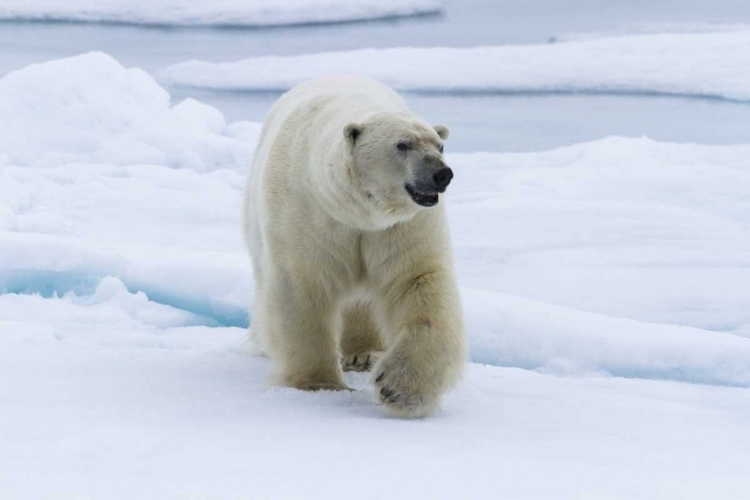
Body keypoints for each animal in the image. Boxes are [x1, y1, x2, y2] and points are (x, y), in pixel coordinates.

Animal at [247, 75, 468, 418]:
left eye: (439, 145)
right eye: (402, 145)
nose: (441, 174)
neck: (358, 212)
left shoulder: (400, 228)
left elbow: (417, 280)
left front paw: (399, 388)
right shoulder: (308, 212)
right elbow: (302, 286)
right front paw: (317, 384)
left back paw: (362, 354)